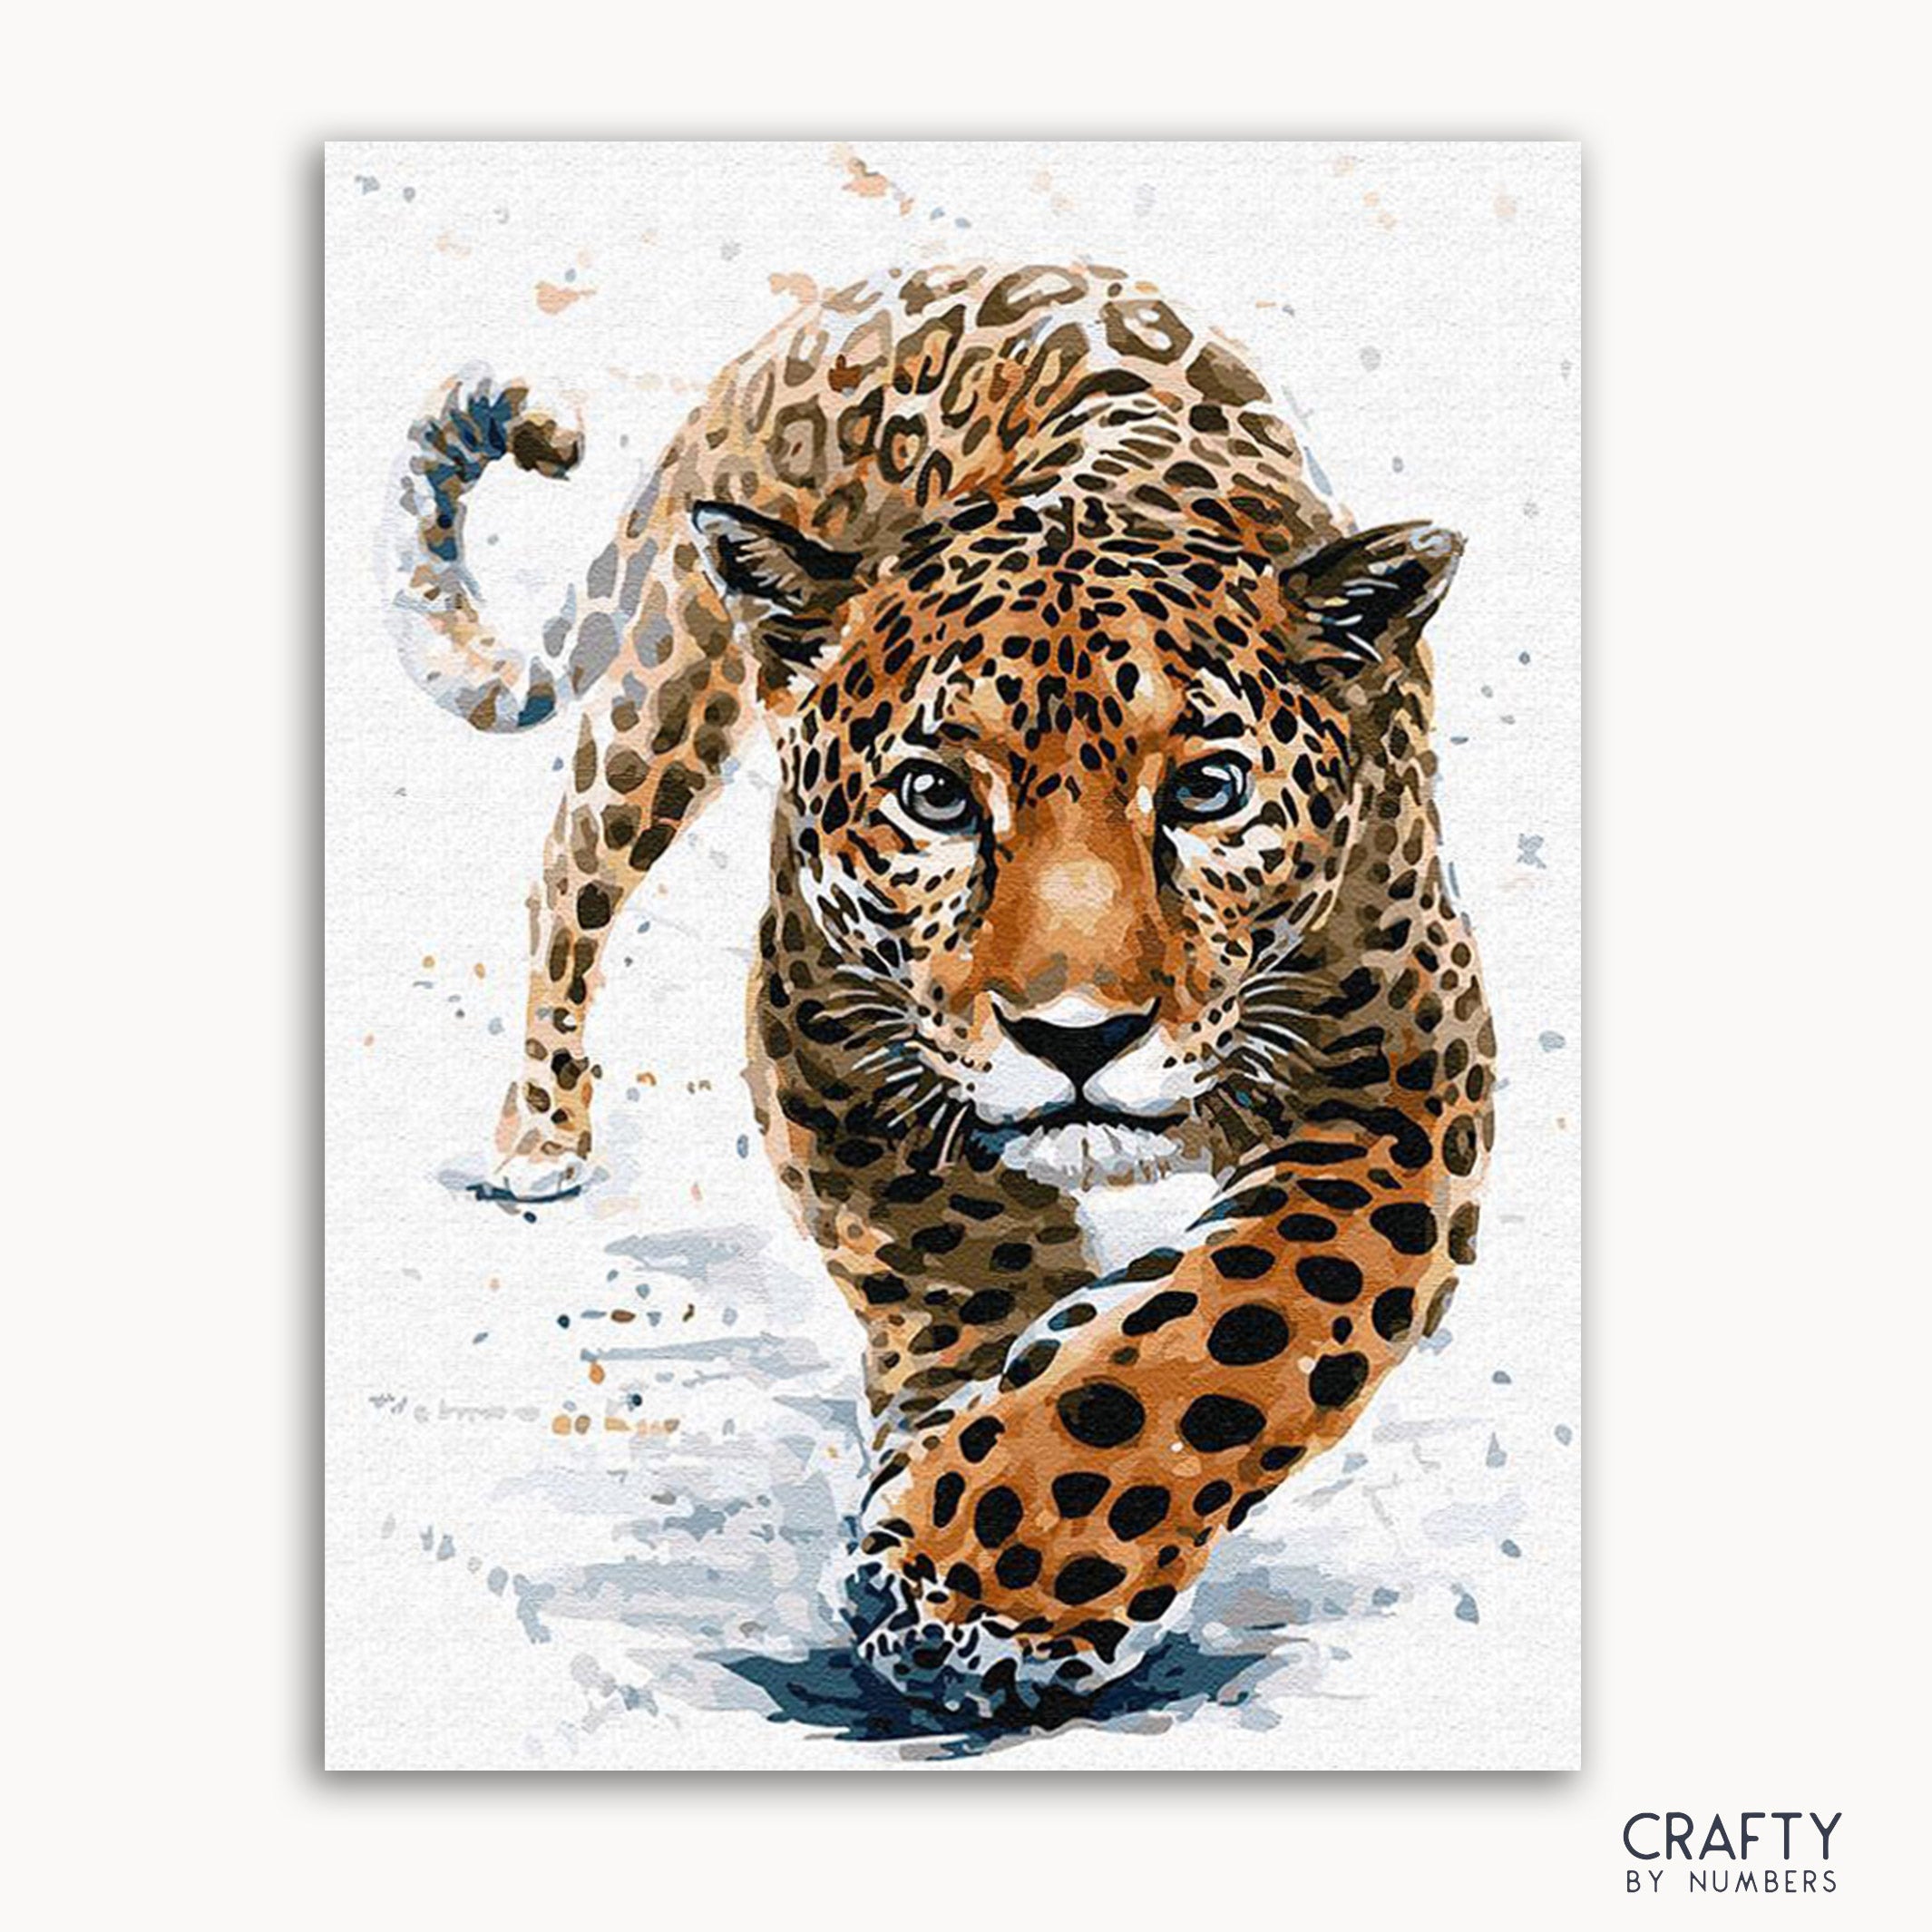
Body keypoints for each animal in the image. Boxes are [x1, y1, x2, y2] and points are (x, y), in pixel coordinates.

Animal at [383, 260, 1495, 1723]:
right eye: (935, 795)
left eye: (1207, 789)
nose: (1077, 1037)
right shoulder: (828, 1037)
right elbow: (971, 1263)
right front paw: (962, 1554)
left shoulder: (1406, 1084)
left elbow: (1239, 1328)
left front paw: (983, 1578)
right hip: (666, 693)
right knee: (567, 878)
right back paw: (540, 1132)